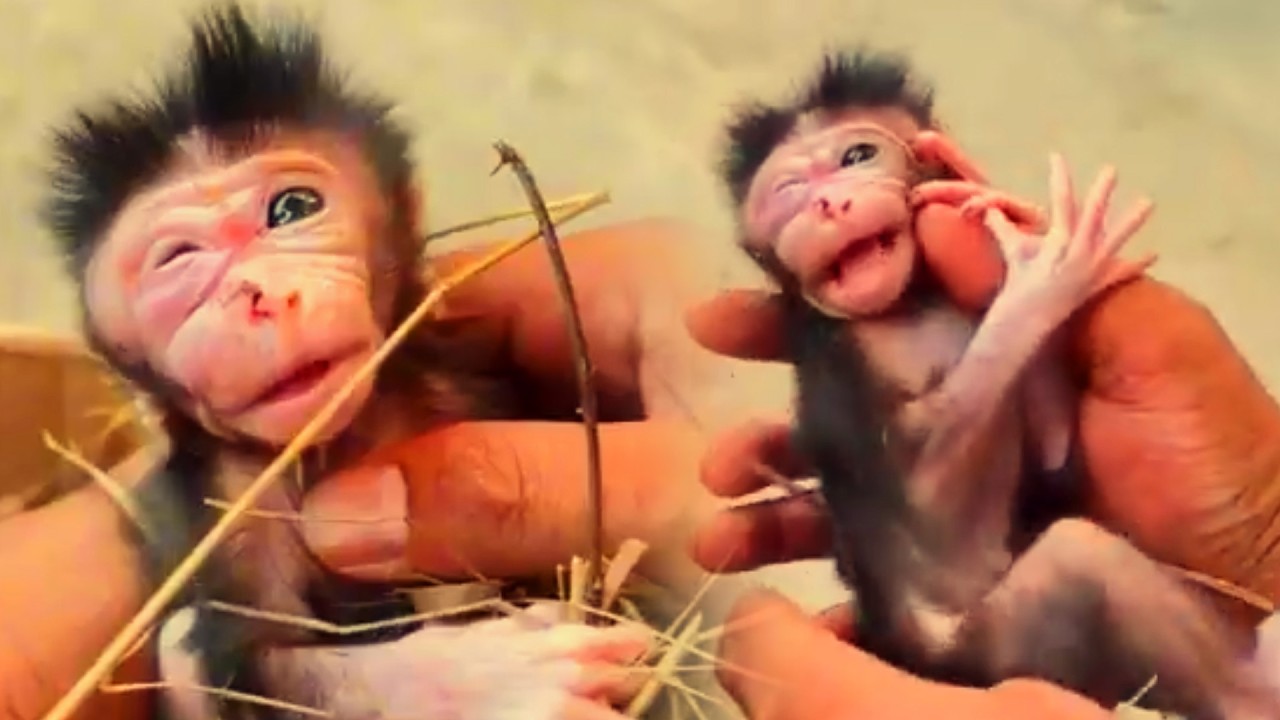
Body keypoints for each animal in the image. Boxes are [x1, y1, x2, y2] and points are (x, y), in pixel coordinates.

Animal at [39, 4, 649, 720]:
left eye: (293, 209)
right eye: (178, 259)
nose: (262, 297)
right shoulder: (230, 497)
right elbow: (262, 664)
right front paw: (489, 677)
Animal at [714, 49, 1280, 719]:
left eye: (857, 157)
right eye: (790, 192)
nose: (827, 204)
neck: (910, 304)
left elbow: (1056, 456)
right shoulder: (842, 369)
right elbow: (939, 521)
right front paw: (1043, 276)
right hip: (999, 643)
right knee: (1076, 559)